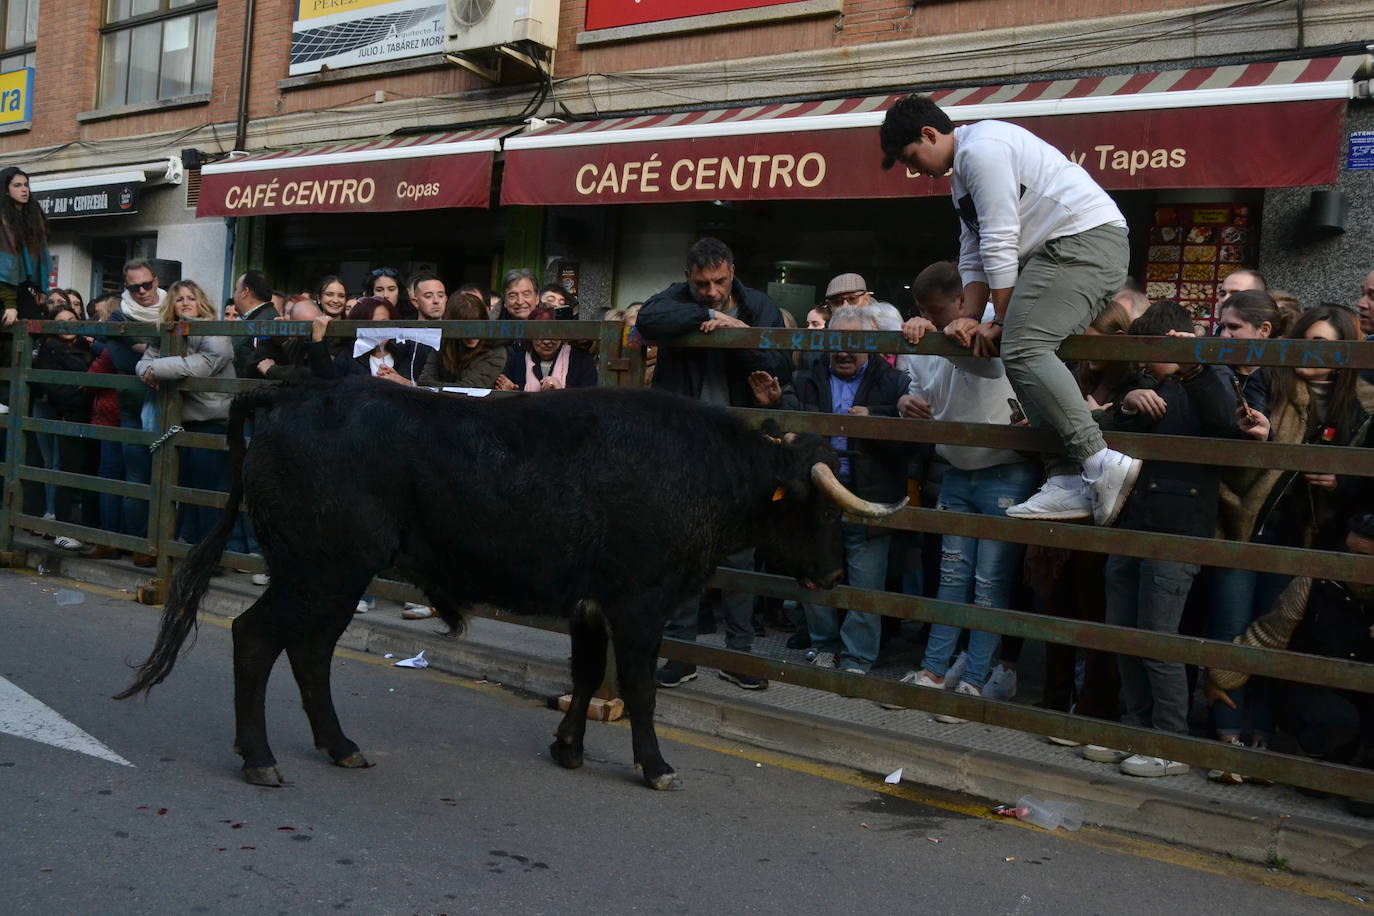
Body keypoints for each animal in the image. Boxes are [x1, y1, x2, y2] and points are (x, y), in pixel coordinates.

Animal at [118, 376, 906, 791]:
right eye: (817, 510)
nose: (833, 574)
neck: (701, 470)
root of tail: (294, 395)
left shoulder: (591, 606)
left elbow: (586, 677)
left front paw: (569, 748)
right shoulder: (640, 605)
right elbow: (639, 689)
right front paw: (654, 765)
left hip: (334, 576)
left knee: (310, 654)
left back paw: (340, 745)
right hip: (319, 571)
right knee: (256, 639)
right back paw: (260, 758)